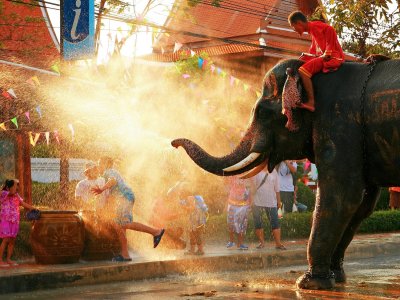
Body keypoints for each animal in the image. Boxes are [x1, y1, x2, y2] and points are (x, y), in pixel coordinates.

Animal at [171, 57, 400, 290]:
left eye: (262, 113)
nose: (173, 142)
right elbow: (362, 204)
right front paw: (335, 277)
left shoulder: (340, 127)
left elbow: (342, 197)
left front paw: (308, 283)